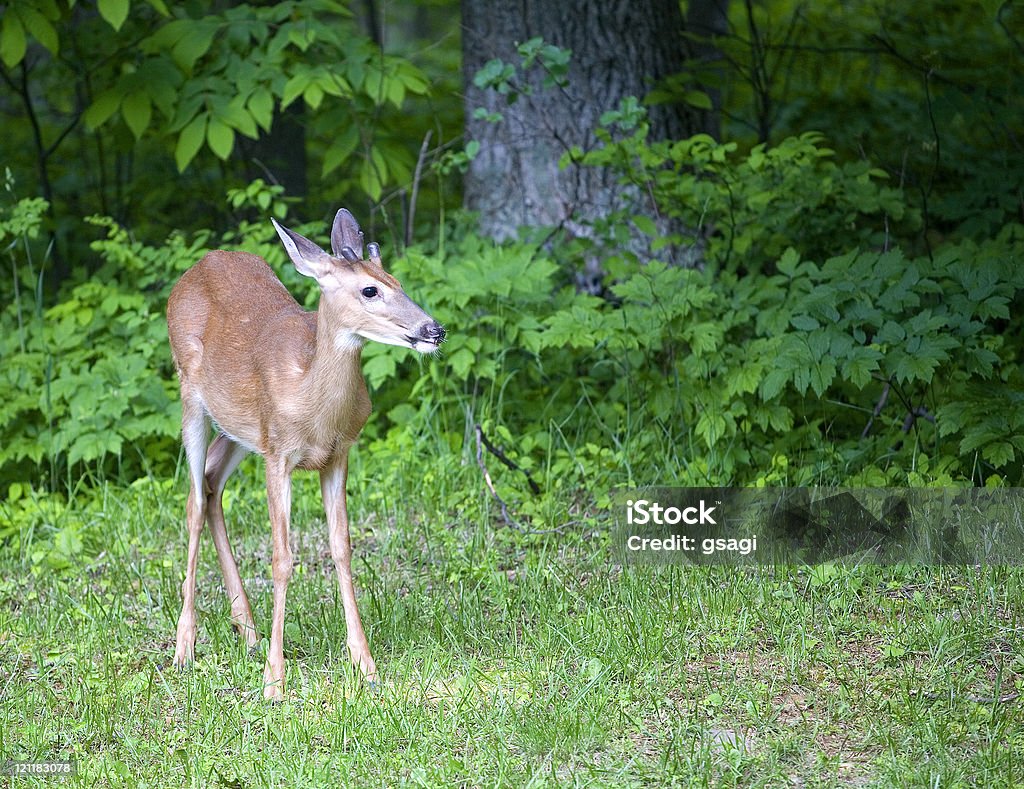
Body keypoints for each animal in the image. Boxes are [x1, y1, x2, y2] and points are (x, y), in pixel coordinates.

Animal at [165, 206, 442, 699]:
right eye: (370, 289)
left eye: (397, 280)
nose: (434, 330)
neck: (314, 401)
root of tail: (197, 267)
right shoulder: (278, 454)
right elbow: (282, 559)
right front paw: (274, 680)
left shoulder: (337, 454)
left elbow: (342, 548)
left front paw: (366, 665)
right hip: (191, 398)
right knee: (195, 500)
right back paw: (185, 647)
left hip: (239, 430)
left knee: (212, 484)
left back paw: (247, 629)